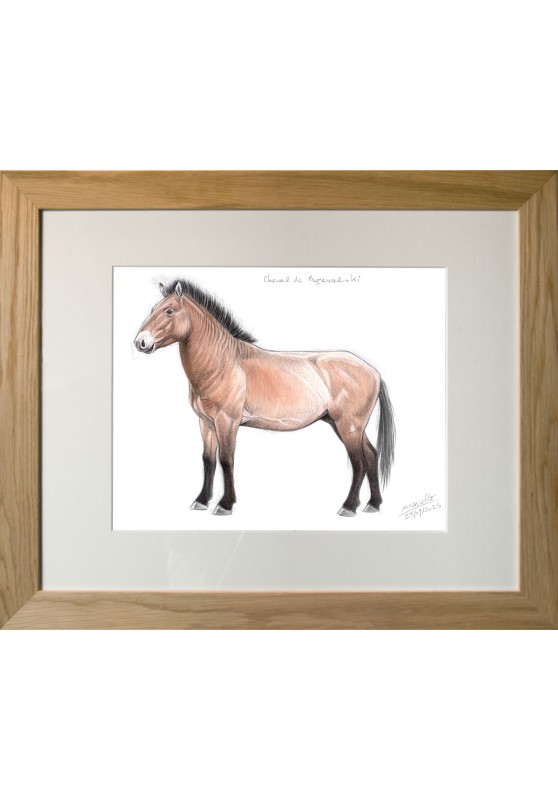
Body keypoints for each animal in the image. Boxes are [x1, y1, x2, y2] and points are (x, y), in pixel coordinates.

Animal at [134, 279, 395, 517]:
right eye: (153, 309)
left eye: (168, 310)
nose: (140, 342)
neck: (223, 363)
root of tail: (374, 371)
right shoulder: (206, 423)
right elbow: (208, 460)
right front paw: (201, 500)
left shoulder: (227, 422)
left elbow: (226, 460)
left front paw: (225, 505)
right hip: (346, 426)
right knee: (371, 456)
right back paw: (373, 504)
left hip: (348, 426)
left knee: (359, 462)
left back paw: (348, 507)